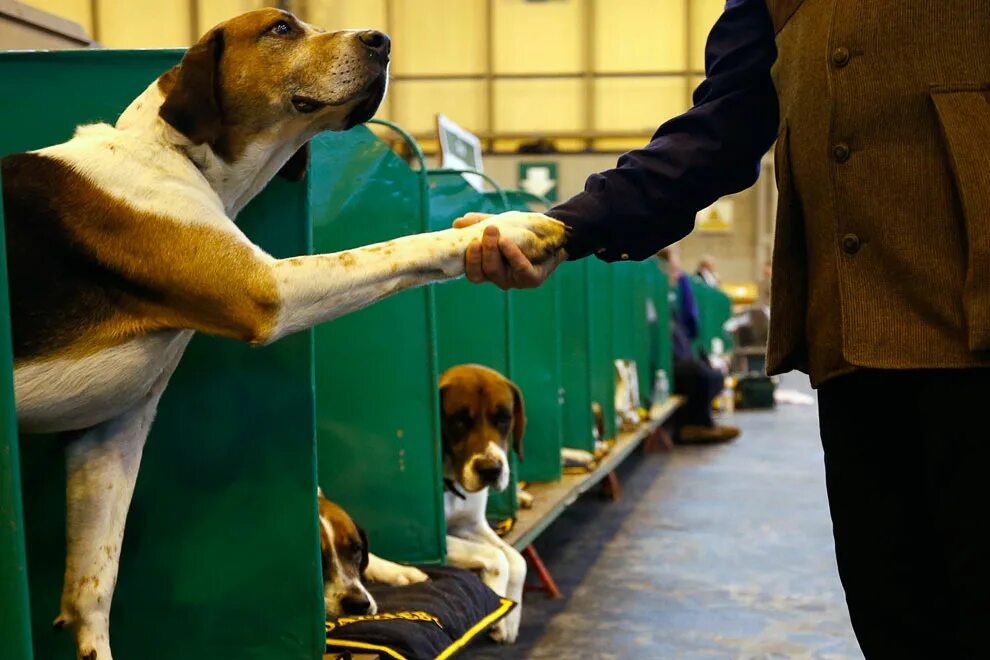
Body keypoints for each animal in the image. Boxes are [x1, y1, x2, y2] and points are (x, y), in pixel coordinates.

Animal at [442, 364, 532, 640]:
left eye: (504, 418)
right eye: (459, 421)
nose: (491, 469)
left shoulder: (470, 526)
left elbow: (517, 560)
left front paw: (512, 618)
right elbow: (497, 557)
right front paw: (497, 615)